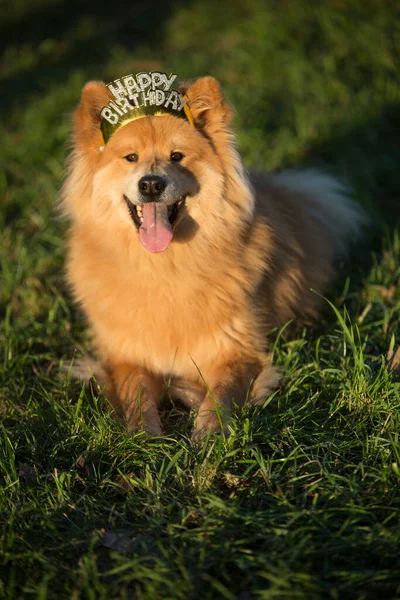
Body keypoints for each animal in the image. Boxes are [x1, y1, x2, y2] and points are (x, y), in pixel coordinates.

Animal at [61, 75, 366, 440]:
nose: (151, 184)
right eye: (130, 157)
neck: (164, 268)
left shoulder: (238, 350)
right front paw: (144, 434)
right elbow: (135, 390)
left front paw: (208, 433)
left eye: (177, 156)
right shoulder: (125, 355)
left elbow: (222, 392)